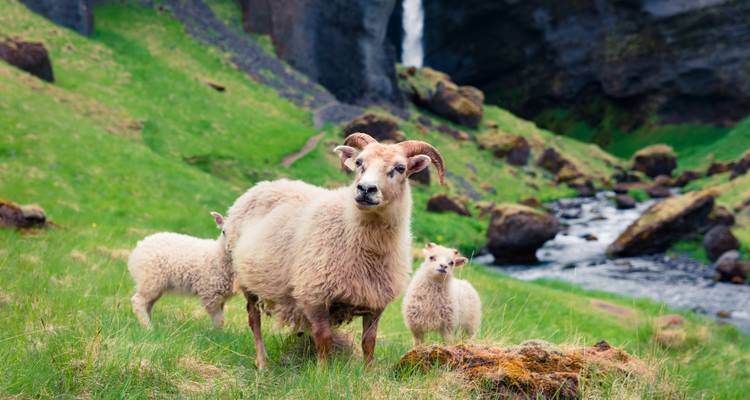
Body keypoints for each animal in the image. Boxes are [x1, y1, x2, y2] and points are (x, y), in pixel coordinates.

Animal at [223, 132, 446, 369]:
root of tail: (263, 185)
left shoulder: (375, 302)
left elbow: (369, 342)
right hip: (246, 279)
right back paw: (262, 363)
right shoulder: (314, 295)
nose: (366, 189)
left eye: (400, 168)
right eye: (359, 163)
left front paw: (367, 372)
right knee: (253, 320)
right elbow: (323, 338)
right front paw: (322, 372)